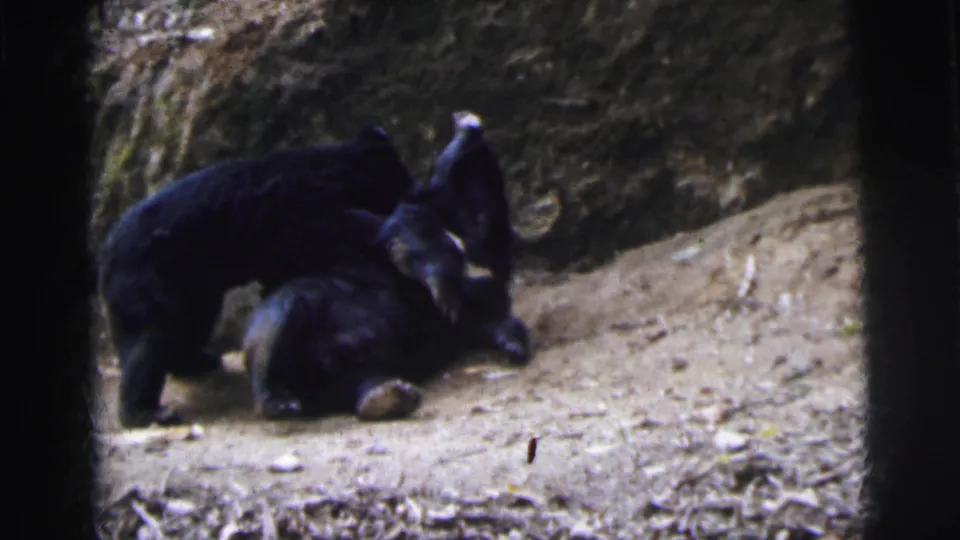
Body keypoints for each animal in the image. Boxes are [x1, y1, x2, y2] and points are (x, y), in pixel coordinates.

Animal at [242, 206, 530, 421]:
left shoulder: (463, 320)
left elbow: (490, 321)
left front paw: (512, 342)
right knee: (286, 313)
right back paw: (274, 397)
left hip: (335, 378)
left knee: (363, 376)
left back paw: (386, 397)